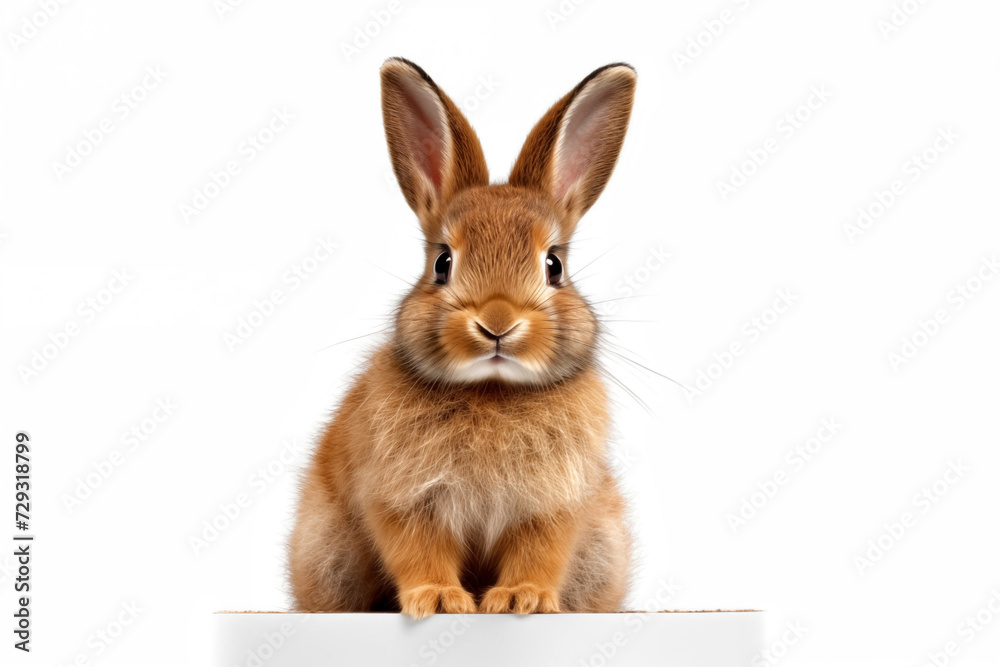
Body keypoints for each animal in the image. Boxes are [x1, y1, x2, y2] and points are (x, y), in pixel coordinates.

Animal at [288, 58, 637, 618]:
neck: (491, 390)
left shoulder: (552, 507)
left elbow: (539, 552)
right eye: (442, 263)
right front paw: (441, 600)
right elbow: (418, 550)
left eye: (554, 266)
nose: (497, 323)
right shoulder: (404, 499)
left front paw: (522, 599)